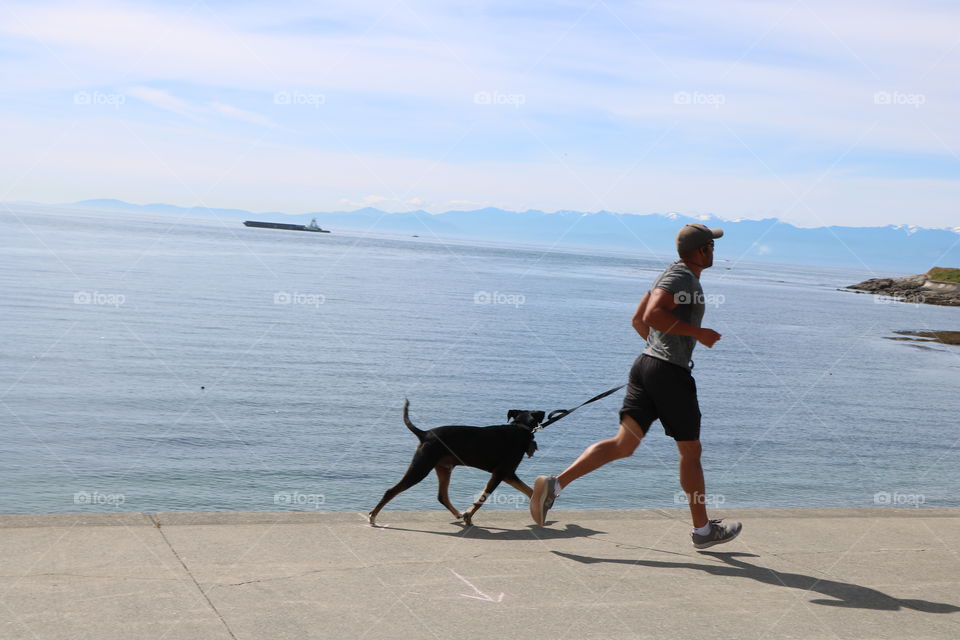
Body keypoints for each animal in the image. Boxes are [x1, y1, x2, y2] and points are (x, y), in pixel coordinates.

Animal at [368, 400, 544, 524]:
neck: (520, 428)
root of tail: (425, 434)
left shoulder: (508, 474)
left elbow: (530, 491)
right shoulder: (501, 473)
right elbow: (482, 498)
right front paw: (469, 516)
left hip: (443, 468)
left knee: (442, 496)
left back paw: (458, 513)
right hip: (421, 467)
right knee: (391, 491)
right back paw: (373, 517)